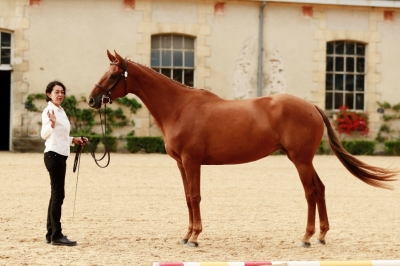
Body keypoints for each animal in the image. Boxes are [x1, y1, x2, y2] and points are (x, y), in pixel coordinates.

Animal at [88, 51, 396, 247]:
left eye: (114, 74)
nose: (91, 100)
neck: (179, 107)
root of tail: (311, 106)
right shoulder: (180, 163)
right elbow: (187, 198)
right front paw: (186, 235)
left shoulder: (191, 161)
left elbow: (195, 197)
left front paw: (195, 237)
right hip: (302, 159)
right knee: (319, 189)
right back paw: (321, 236)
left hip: (300, 159)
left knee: (310, 192)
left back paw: (306, 237)